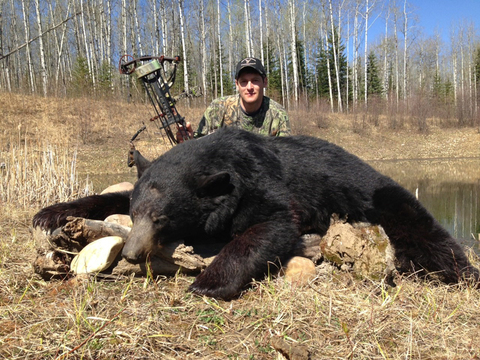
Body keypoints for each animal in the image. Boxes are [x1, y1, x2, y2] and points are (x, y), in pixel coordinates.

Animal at [31, 126, 478, 298]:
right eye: (138, 214)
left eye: (161, 219)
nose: (131, 253)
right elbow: (112, 196)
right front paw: (51, 213)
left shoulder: (263, 187)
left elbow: (272, 225)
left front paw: (209, 281)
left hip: (383, 197)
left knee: (426, 233)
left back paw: (463, 273)